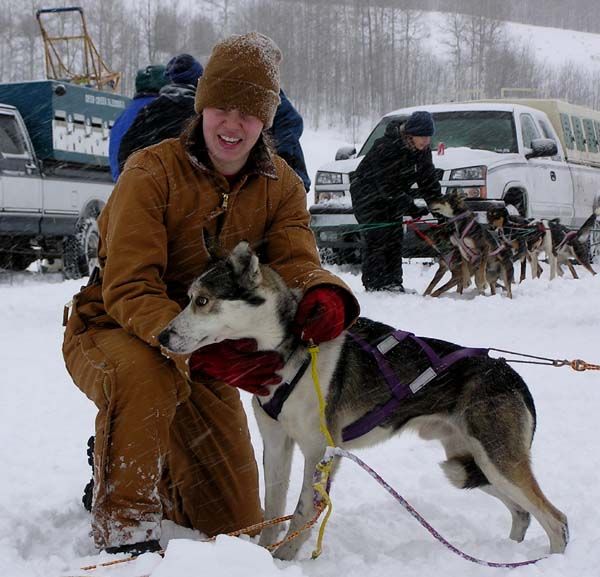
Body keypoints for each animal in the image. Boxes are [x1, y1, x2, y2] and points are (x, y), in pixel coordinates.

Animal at [158, 240, 568, 560]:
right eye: (189, 298)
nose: (162, 336)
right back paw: (509, 555)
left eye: (202, 300)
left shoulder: (319, 452)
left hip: (497, 461)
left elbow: (302, 512)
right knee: (523, 513)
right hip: (471, 463)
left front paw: (283, 560)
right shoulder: (276, 445)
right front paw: (262, 555)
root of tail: (512, 375)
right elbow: (273, 508)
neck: (289, 353)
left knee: (556, 521)